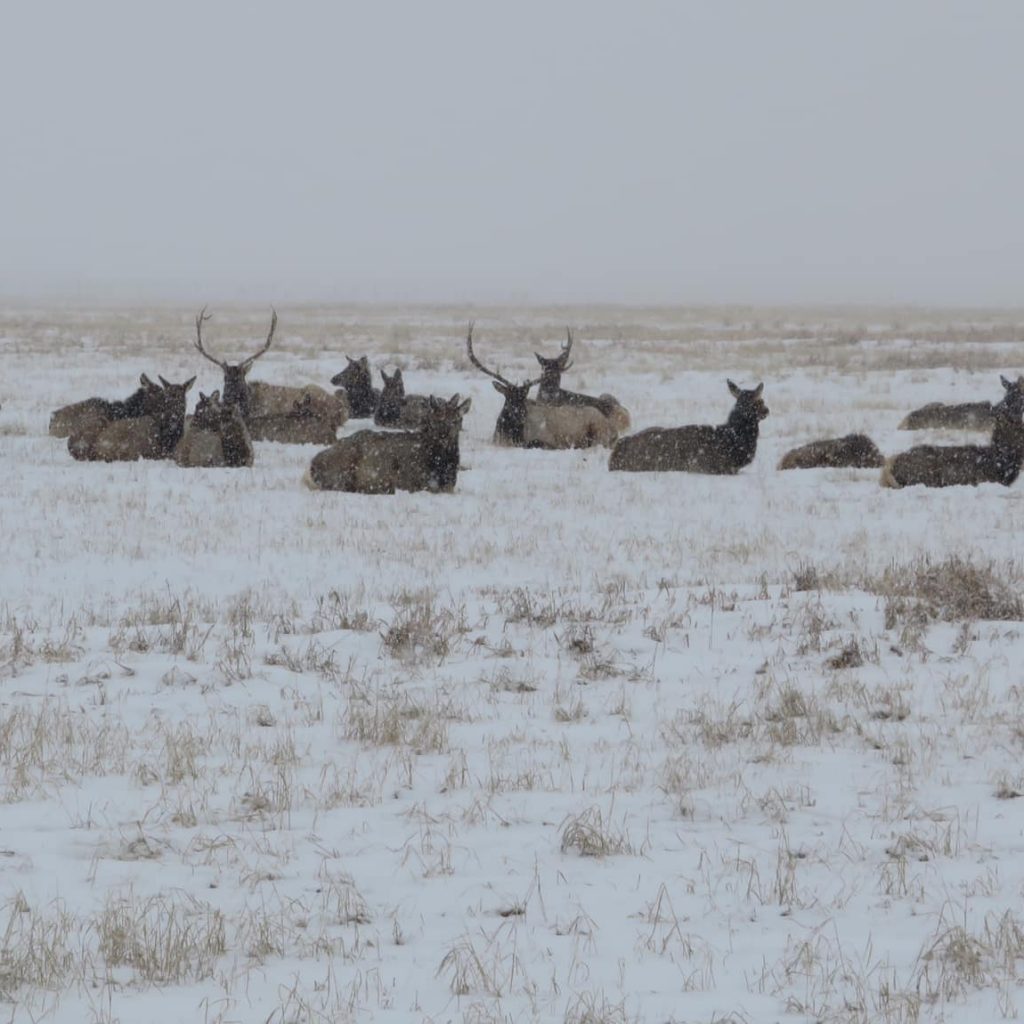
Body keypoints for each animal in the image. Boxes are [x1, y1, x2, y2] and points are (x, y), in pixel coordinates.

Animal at [303, 393, 471, 493]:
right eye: (435, 420)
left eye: (457, 420)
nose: (444, 435)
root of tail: (311, 465)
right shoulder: (416, 482)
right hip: (342, 471)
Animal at [464, 321, 614, 446]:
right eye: (508, 397)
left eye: (524, 397)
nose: (521, 416)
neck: (509, 434)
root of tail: (609, 425)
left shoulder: (546, 439)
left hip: (598, 432)